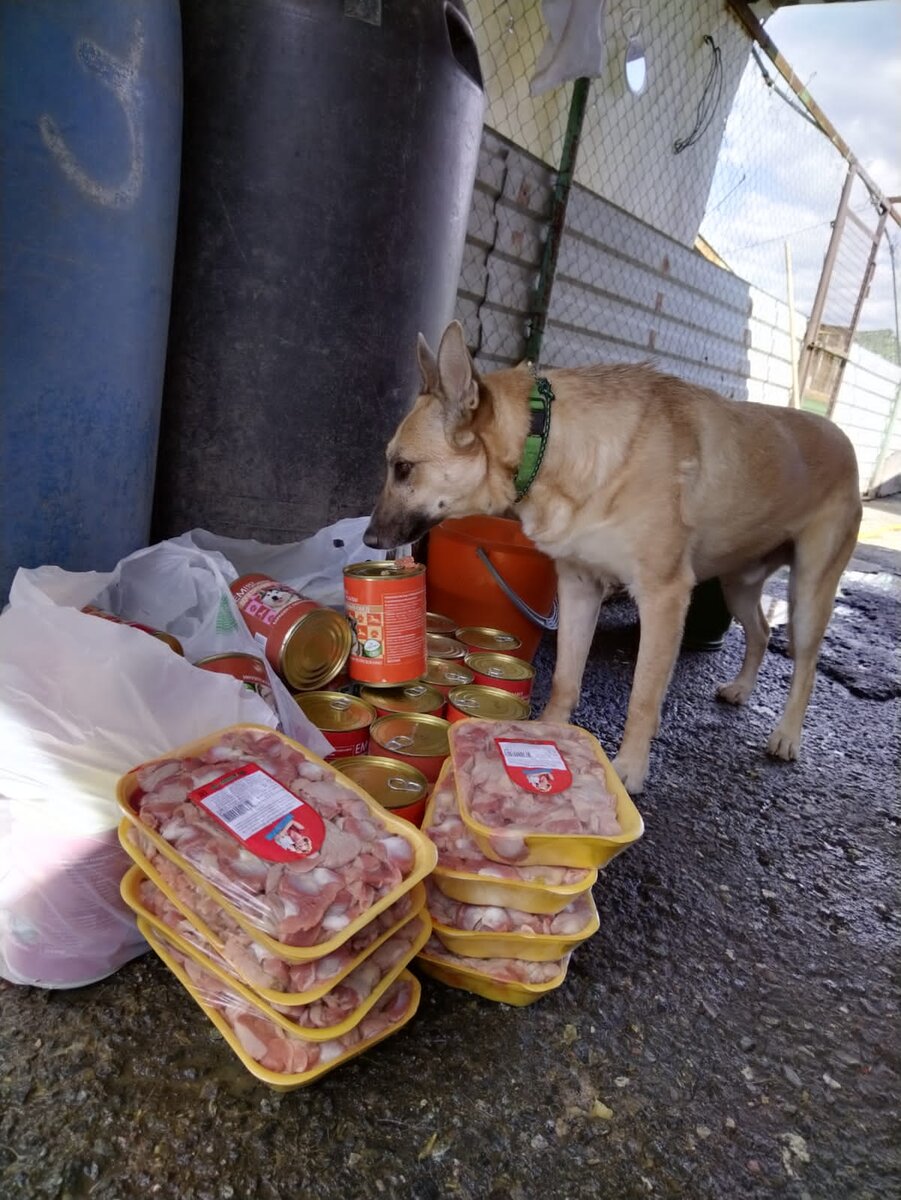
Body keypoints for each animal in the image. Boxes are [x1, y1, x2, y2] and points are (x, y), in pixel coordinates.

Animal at [362, 319, 863, 792]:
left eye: (403, 468)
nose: (367, 539)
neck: (544, 439)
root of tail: (841, 434)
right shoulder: (579, 587)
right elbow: (566, 676)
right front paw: (549, 733)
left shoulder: (664, 597)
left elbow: (642, 695)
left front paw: (630, 768)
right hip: (737, 584)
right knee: (760, 630)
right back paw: (742, 688)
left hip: (808, 595)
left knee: (806, 664)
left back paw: (788, 735)